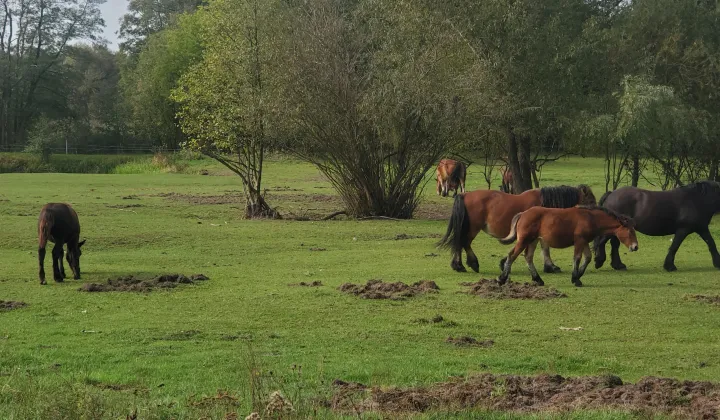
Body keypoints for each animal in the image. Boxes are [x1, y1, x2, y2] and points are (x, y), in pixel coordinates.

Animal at [436, 185, 600, 274]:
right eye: (591, 200)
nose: (598, 213)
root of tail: (464, 194)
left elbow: (544, 248)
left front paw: (549, 266)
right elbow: (544, 248)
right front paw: (551, 266)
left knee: (459, 243)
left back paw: (458, 265)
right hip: (472, 228)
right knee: (464, 243)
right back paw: (471, 263)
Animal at [498, 206, 640, 288]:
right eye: (630, 231)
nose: (635, 247)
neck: (591, 218)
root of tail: (523, 213)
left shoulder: (584, 242)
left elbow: (587, 258)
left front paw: (578, 276)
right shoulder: (579, 241)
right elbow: (577, 258)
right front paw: (575, 279)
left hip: (533, 241)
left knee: (528, 257)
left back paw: (538, 279)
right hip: (524, 240)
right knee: (512, 255)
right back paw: (502, 278)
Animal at [592, 180, 720, 272]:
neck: (696, 200)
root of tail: (611, 194)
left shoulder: (702, 228)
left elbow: (711, 244)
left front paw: (717, 262)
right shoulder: (683, 229)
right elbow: (674, 246)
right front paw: (669, 266)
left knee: (613, 244)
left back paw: (618, 265)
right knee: (602, 242)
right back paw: (599, 261)